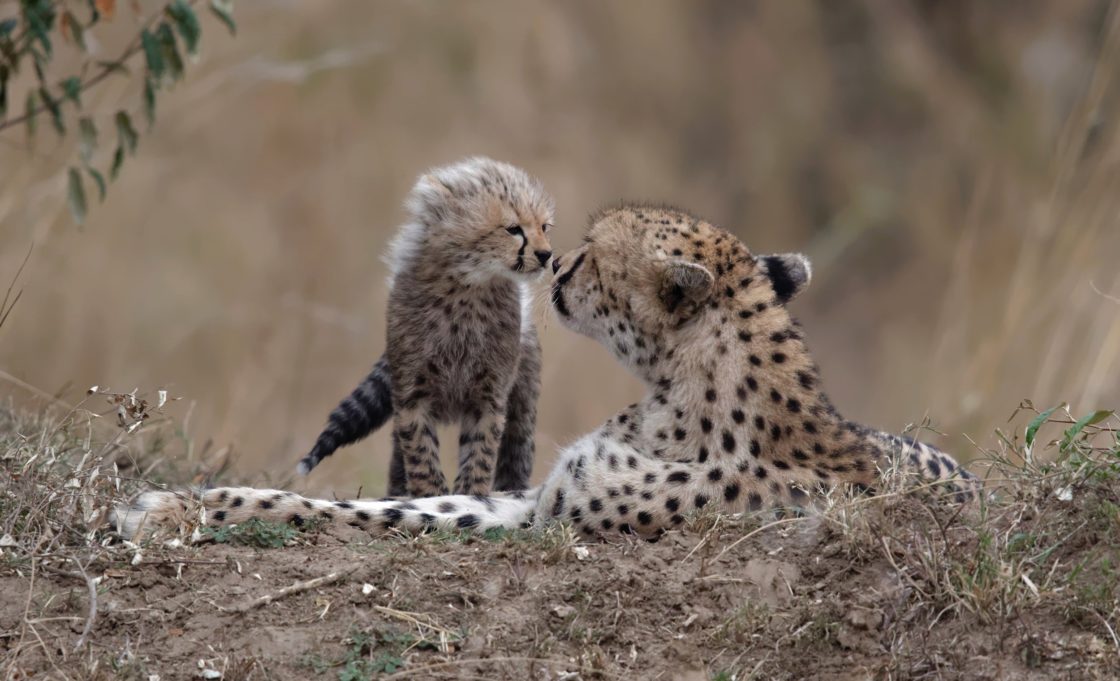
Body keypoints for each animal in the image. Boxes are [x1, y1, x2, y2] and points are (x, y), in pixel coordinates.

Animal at [111, 204, 972, 539]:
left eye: (592, 253)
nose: (556, 264)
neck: (677, 391)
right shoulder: (537, 496)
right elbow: (409, 502)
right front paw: (181, 499)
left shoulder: (555, 515)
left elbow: (378, 516)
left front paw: (176, 508)